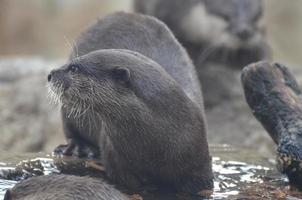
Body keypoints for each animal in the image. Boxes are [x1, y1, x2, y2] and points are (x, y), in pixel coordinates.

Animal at [47, 11, 212, 195]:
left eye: (74, 68)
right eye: (70, 65)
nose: (50, 74)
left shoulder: (199, 160)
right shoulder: (116, 161)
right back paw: (78, 147)